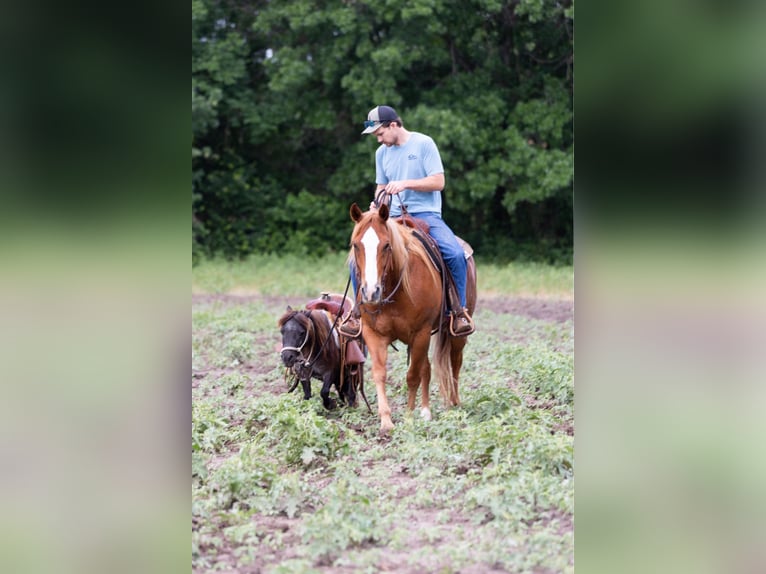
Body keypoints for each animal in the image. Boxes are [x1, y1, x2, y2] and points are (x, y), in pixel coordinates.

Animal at [352, 202, 476, 432]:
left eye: (386, 245)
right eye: (356, 245)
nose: (371, 292)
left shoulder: (421, 333)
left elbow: (412, 376)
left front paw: (409, 418)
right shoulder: (374, 334)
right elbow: (380, 373)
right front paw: (386, 421)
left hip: (455, 334)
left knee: (455, 362)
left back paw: (454, 403)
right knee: (427, 367)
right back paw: (426, 411)